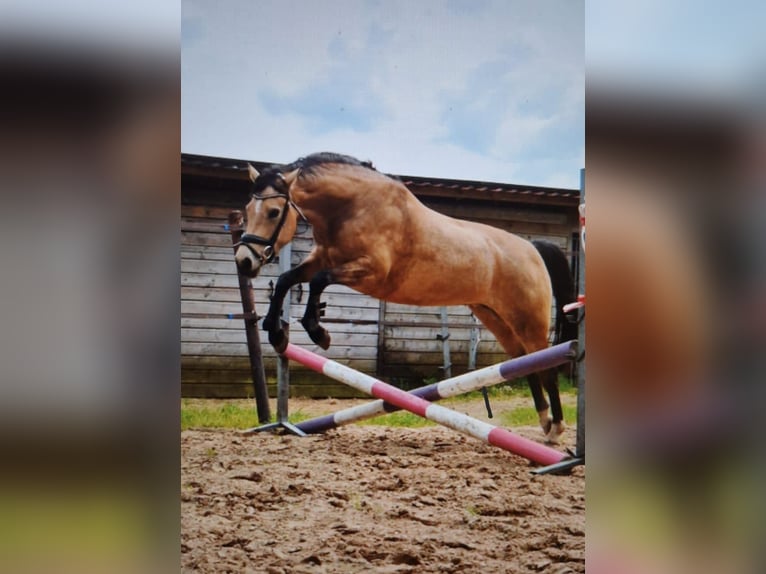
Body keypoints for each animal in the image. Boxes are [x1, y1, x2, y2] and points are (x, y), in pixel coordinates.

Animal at [234, 154, 576, 446]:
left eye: (273, 212)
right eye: (246, 211)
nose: (244, 262)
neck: (353, 207)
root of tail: (532, 249)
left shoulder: (370, 271)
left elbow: (317, 282)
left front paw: (319, 332)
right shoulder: (322, 259)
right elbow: (286, 280)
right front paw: (276, 333)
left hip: (528, 319)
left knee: (544, 363)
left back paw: (556, 428)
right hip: (496, 316)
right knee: (525, 362)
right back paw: (545, 421)